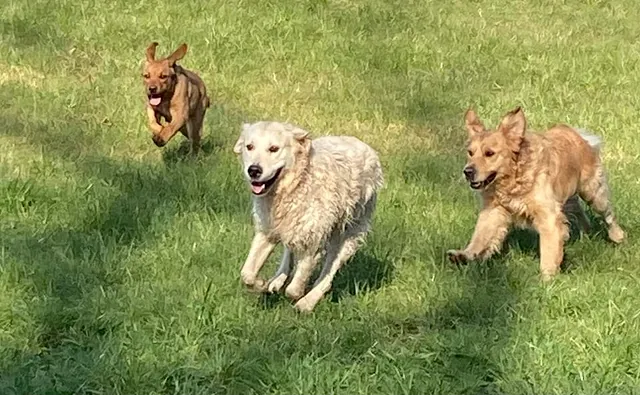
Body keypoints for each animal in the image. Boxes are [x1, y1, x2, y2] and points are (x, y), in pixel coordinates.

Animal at [235, 120, 384, 312]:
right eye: (249, 146)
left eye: (274, 148)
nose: (253, 170)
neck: (293, 185)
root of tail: (366, 146)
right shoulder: (267, 231)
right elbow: (247, 273)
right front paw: (261, 284)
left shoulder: (313, 240)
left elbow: (293, 289)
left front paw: (299, 295)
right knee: (288, 250)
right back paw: (277, 280)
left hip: (349, 233)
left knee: (329, 273)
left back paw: (308, 301)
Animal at [444, 107, 624, 282]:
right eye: (470, 153)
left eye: (489, 153)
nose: (467, 172)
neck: (514, 178)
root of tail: (576, 133)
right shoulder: (493, 210)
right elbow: (480, 236)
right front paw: (464, 255)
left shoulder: (548, 215)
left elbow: (549, 249)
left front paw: (547, 278)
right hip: (568, 200)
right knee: (580, 214)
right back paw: (585, 234)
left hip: (593, 192)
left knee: (608, 215)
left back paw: (618, 236)